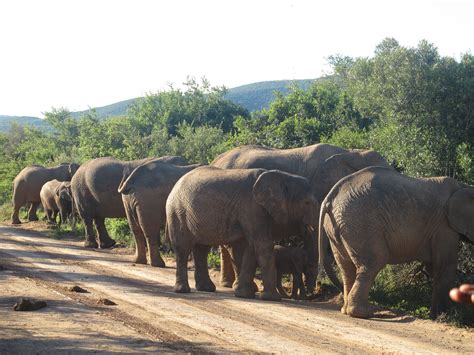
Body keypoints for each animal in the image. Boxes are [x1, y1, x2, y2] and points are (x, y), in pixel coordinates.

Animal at [211, 143, 392, 290]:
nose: (340, 289)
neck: (352, 152)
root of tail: (215, 160)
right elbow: (313, 235)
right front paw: (310, 290)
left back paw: (227, 284)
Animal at [318, 166, 474, 320]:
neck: (464, 186)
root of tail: (330, 197)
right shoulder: (444, 227)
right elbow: (445, 266)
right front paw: (443, 317)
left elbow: (434, 267)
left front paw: (435, 316)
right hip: (359, 221)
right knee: (373, 262)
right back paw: (364, 313)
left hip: (338, 226)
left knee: (346, 267)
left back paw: (346, 310)